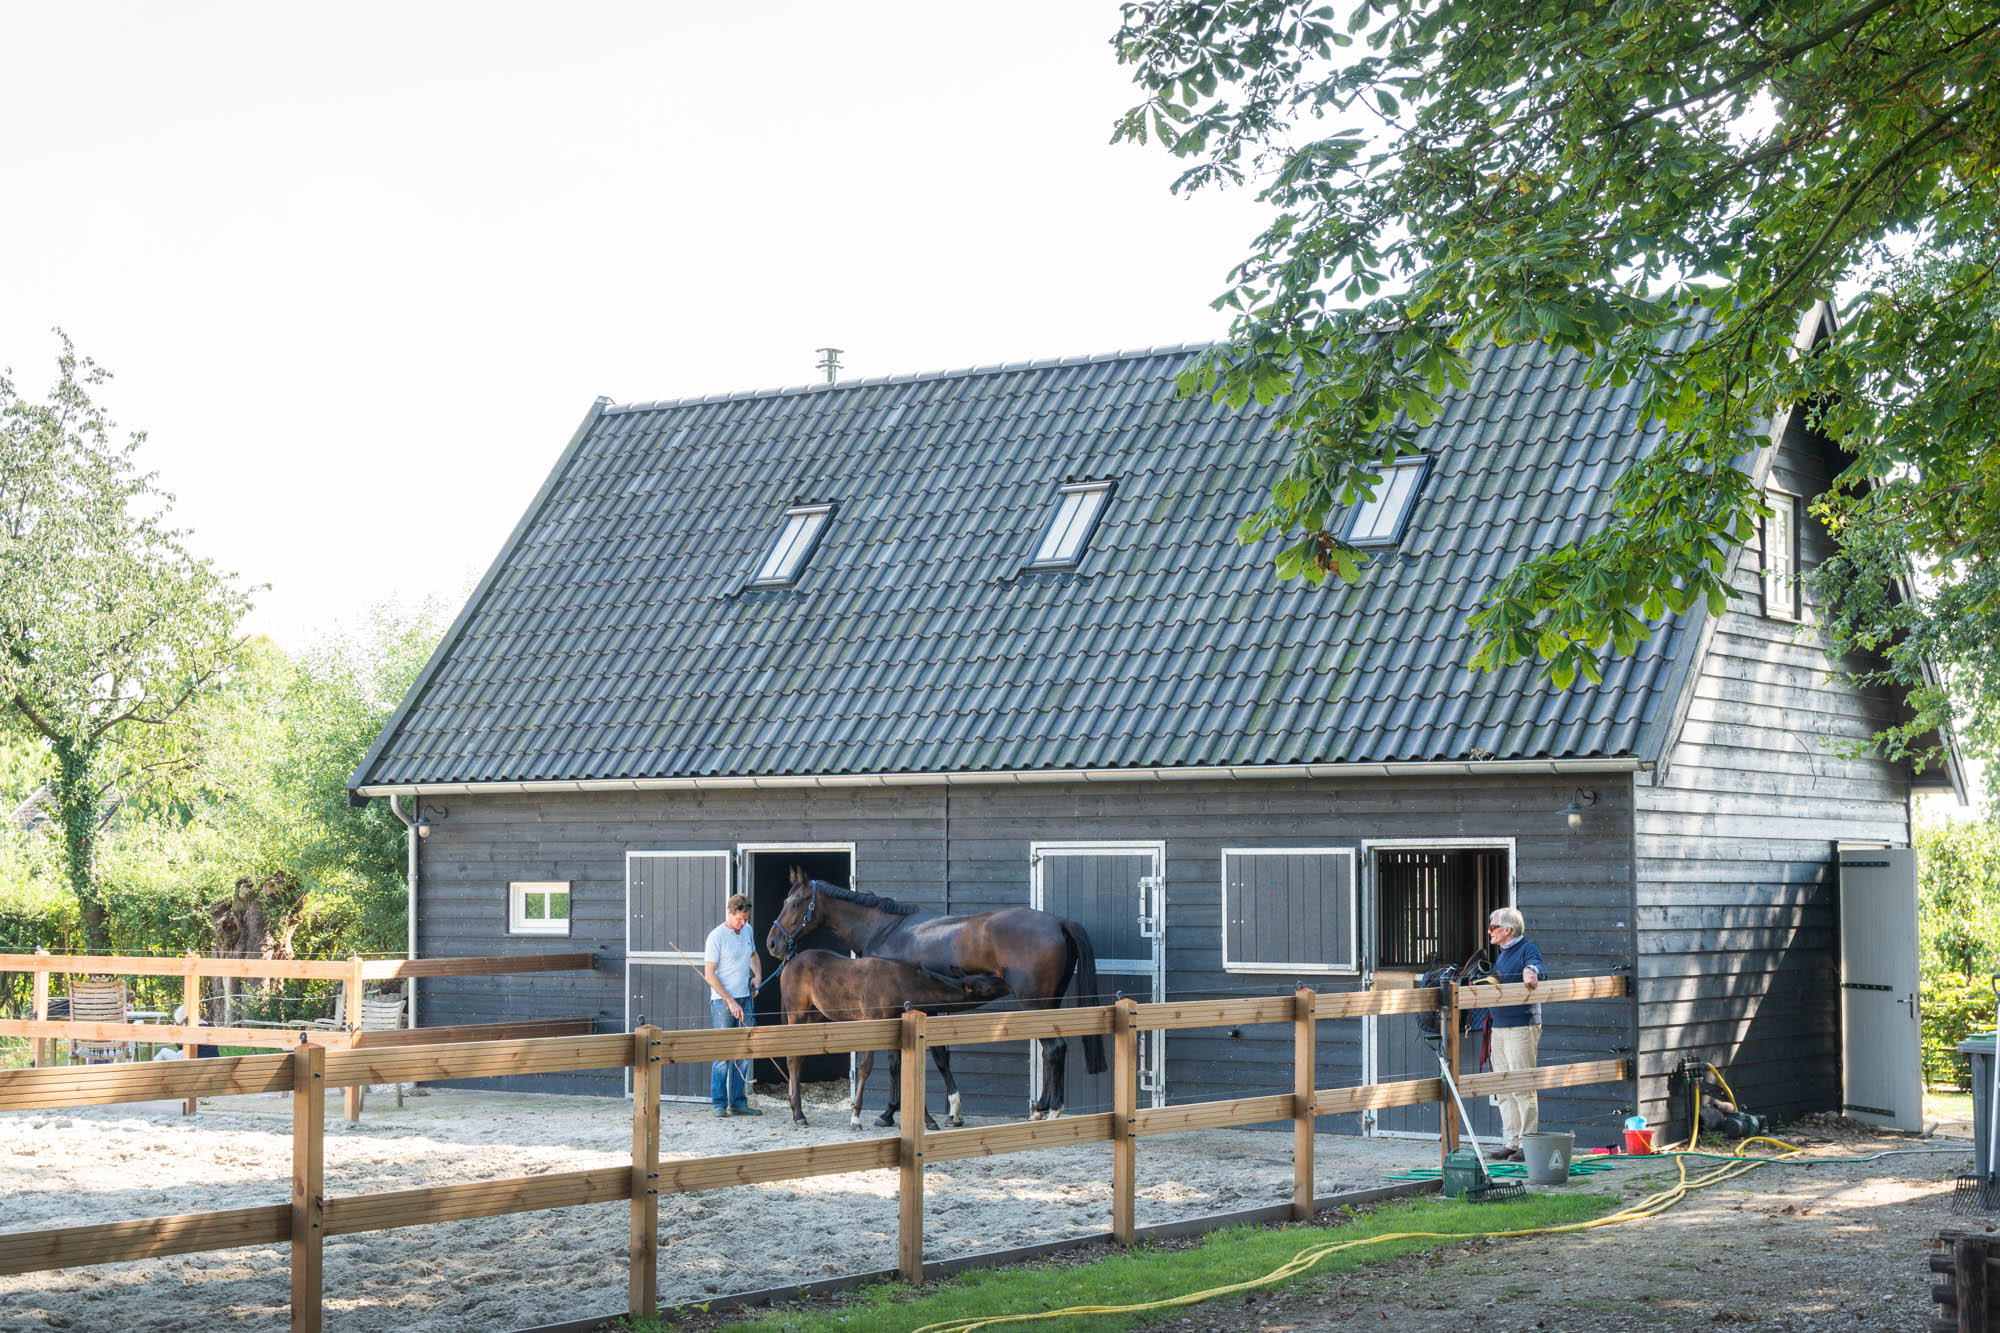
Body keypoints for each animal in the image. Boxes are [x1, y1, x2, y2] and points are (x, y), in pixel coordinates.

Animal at [772, 948, 1008, 1128]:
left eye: (990, 977)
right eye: (990, 984)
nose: (1007, 980)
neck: (901, 984)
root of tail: (788, 964)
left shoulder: (898, 1025)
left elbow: (903, 1069)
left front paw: (926, 1119)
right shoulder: (872, 1021)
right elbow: (866, 1067)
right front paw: (855, 1117)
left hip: (814, 1015)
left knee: (799, 1056)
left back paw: (797, 1110)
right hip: (797, 1014)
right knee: (792, 1058)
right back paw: (799, 1114)